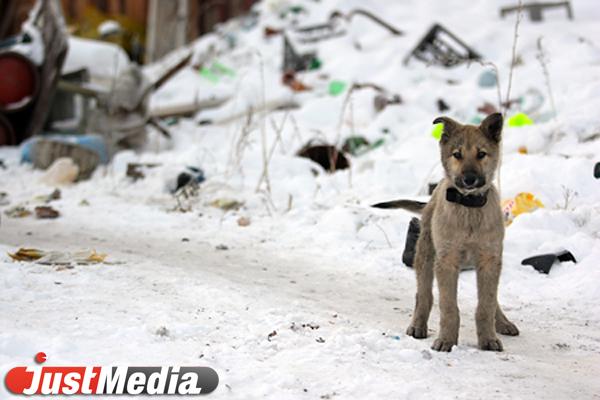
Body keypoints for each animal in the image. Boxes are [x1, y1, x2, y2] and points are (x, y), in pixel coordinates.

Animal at [372, 114, 516, 352]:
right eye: (457, 154)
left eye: (481, 154)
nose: (469, 179)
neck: (468, 207)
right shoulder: (446, 261)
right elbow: (448, 306)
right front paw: (446, 341)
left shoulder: (490, 259)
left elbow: (485, 304)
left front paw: (488, 338)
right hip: (425, 255)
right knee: (423, 295)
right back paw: (418, 326)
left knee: (492, 297)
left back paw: (503, 322)